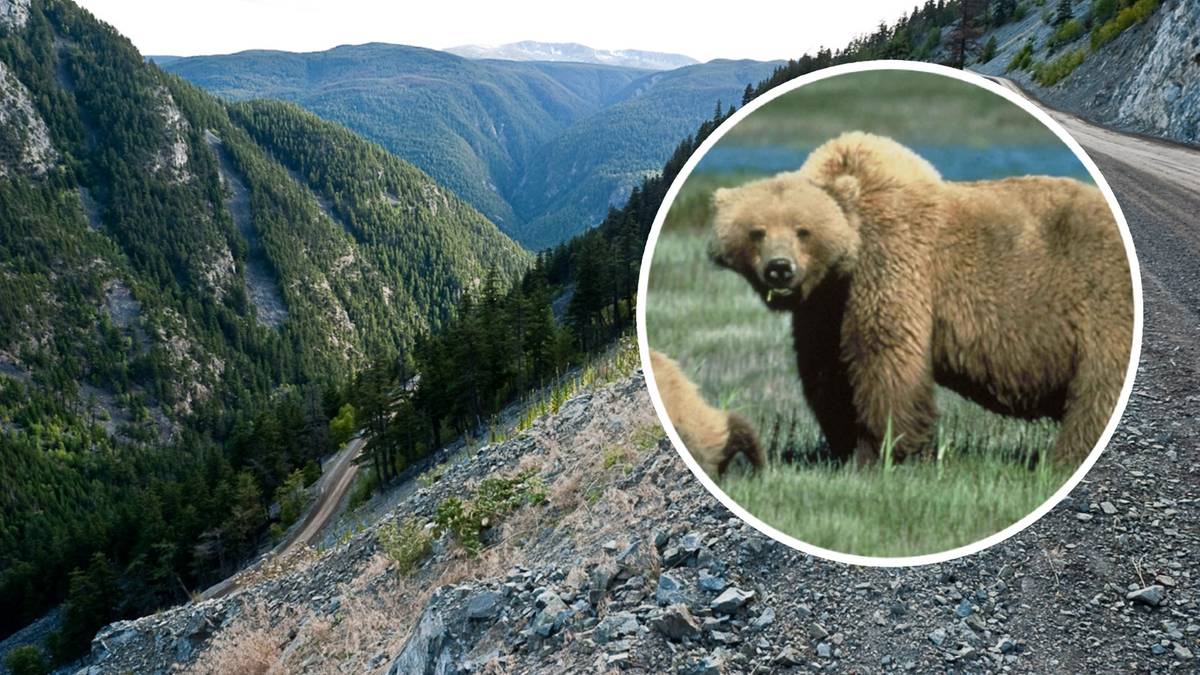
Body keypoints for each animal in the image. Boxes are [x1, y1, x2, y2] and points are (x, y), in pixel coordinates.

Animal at [707, 131, 1134, 467]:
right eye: (757, 231)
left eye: (803, 230)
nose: (780, 269)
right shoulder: (825, 304)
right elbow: (826, 369)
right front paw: (846, 445)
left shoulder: (892, 261)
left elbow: (884, 354)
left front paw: (887, 451)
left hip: (1102, 301)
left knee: (1097, 391)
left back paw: (1063, 458)